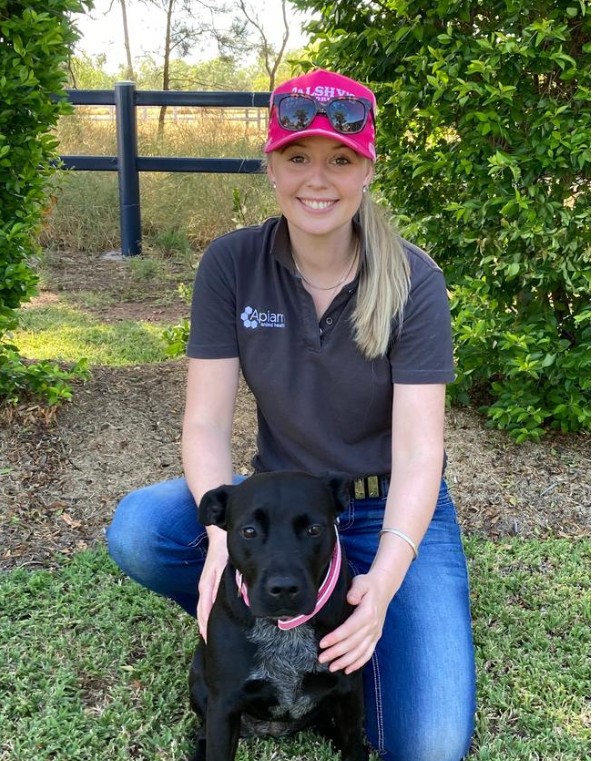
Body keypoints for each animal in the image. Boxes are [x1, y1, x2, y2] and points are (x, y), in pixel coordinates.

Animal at [188, 471, 368, 761]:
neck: (285, 629)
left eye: (314, 529)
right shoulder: (224, 706)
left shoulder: (348, 693)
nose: (283, 588)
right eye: (249, 531)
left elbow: (353, 747)